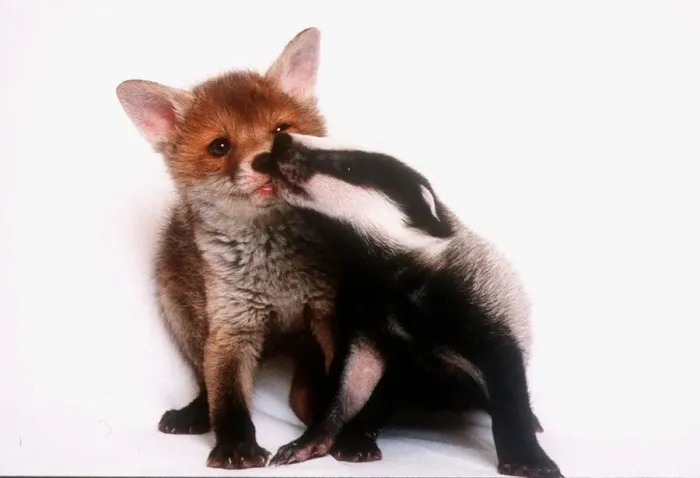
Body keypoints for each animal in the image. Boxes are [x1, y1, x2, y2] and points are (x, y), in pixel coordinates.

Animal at [115, 28, 343, 470]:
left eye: (281, 132)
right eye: (219, 147)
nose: (264, 161)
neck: (276, 274)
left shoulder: (326, 311)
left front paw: (350, 436)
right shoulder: (232, 325)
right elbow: (229, 399)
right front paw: (236, 447)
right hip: (184, 317)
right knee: (206, 384)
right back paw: (194, 413)